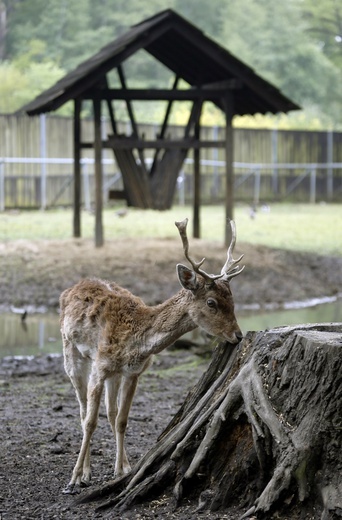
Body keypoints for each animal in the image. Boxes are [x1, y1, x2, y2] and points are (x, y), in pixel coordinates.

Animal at [60, 217, 244, 494]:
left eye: (233, 300)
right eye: (211, 302)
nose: (238, 335)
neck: (136, 341)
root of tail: (71, 288)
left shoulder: (133, 372)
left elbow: (122, 419)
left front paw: (123, 471)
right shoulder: (100, 366)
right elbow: (90, 421)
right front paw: (74, 478)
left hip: (113, 374)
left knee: (111, 412)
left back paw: (121, 465)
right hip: (71, 352)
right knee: (82, 412)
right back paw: (85, 473)